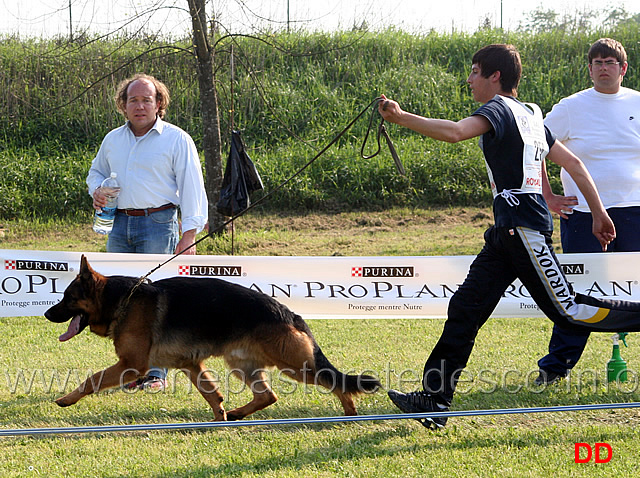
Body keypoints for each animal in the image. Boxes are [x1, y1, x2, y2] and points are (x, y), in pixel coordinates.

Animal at [45, 256, 380, 420]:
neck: (120, 301)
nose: (47, 314)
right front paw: (219, 417)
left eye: (67, 298)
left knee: (333, 382)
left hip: (295, 366)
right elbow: (211, 393)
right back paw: (236, 413)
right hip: (243, 366)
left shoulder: (131, 365)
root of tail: (288, 312)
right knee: (268, 396)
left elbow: (92, 379)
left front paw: (66, 399)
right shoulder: (191, 365)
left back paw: (350, 414)